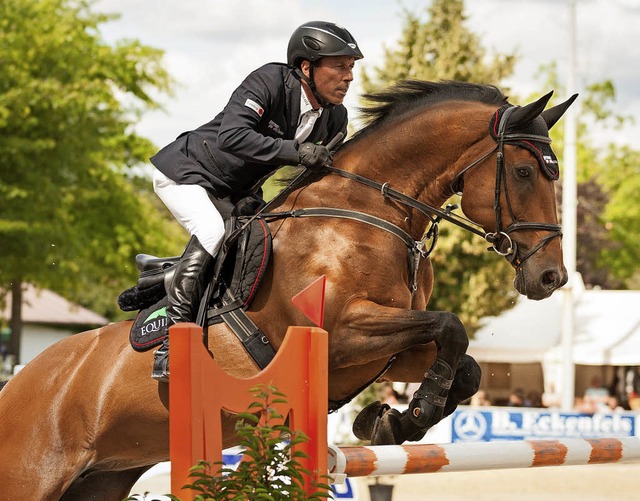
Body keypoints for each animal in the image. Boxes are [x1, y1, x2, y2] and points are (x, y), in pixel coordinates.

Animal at [0, 80, 576, 498]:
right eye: (524, 172)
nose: (551, 278)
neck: (368, 214)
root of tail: (20, 381)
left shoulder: (384, 353)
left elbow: (464, 362)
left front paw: (391, 422)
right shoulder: (341, 335)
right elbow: (451, 326)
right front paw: (412, 411)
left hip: (102, 478)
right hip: (31, 475)